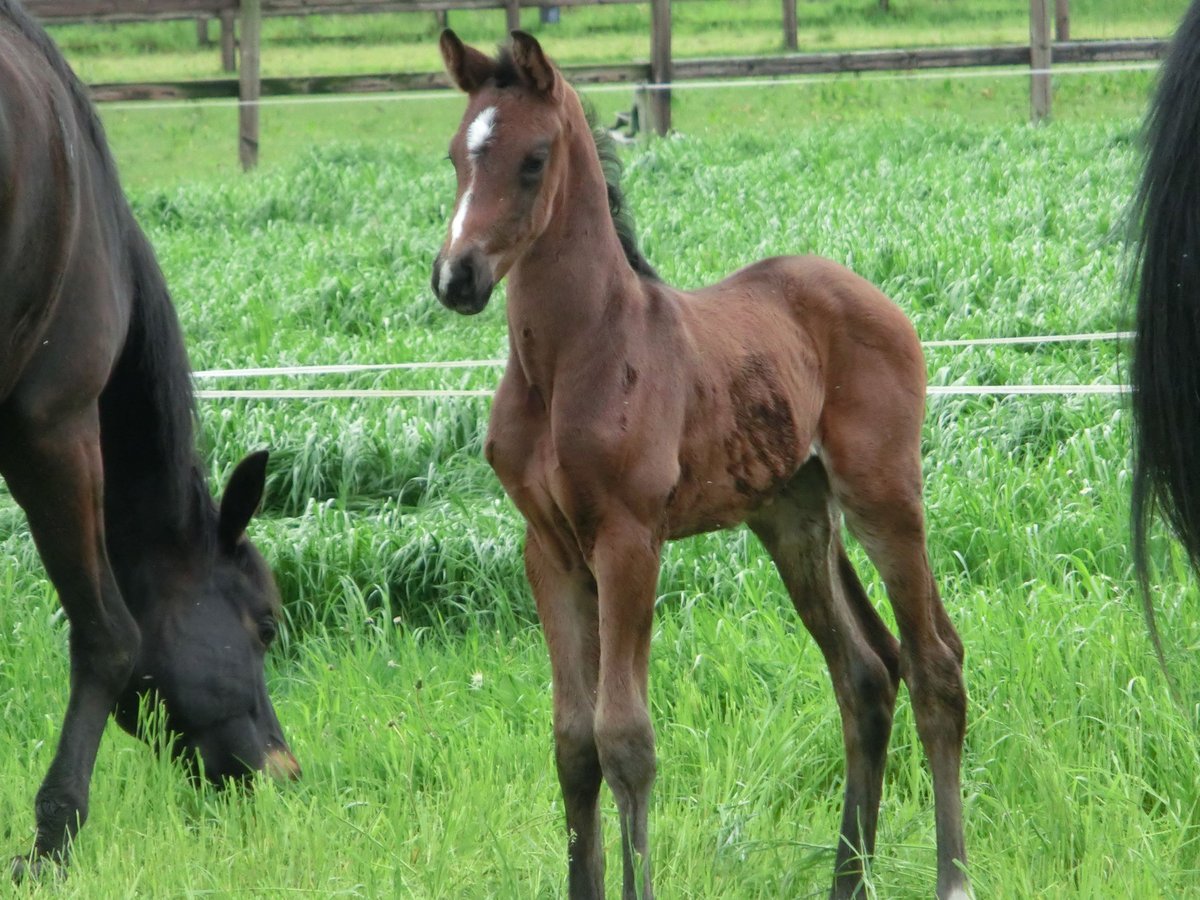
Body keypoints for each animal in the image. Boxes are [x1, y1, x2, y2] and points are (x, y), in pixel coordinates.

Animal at [434, 30, 974, 900]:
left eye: (533, 159)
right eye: (457, 154)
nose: (457, 278)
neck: (570, 359)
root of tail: (873, 296)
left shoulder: (629, 541)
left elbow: (625, 739)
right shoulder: (548, 550)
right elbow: (573, 744)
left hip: (883, 497)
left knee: (934, 667)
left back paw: (952, 876)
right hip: (794, 518)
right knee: (865, 674)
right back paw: (845, 880)